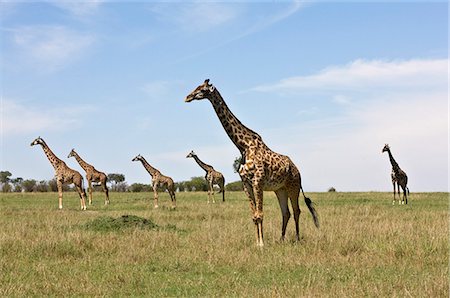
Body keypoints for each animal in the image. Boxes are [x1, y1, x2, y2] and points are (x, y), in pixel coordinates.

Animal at [185, 79, 318, 247]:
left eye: (202, 89)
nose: (187, 97)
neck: (243, 146)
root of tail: (297, 169)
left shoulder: (257, 182)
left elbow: (260, 214)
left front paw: (261, 244)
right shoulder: (246, 183)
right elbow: (254, 215)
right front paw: (257, 242)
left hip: (293, 187)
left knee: (296, 211)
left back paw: (297, 239)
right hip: (280, 189)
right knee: (286, 212)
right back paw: (281, 239)